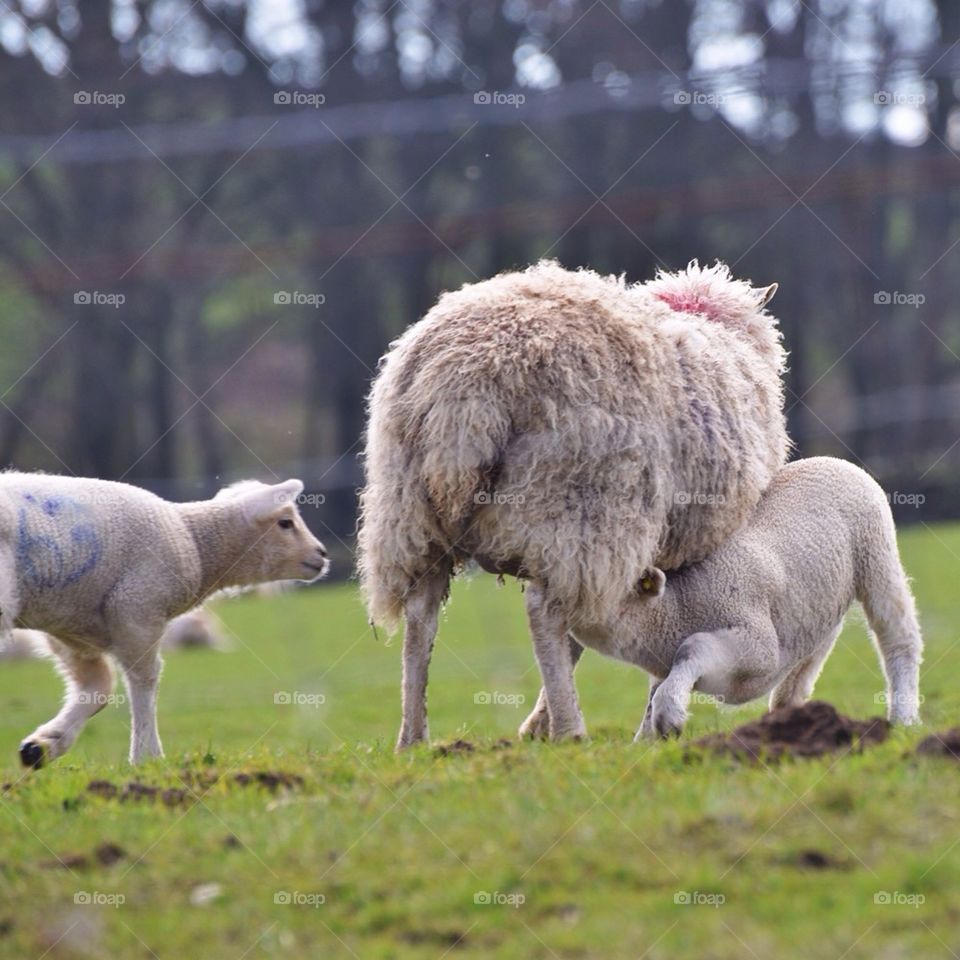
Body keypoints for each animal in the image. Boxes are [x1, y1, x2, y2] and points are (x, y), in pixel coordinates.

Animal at [0, 474, 328, 766]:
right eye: (285, 522)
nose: (323, 554)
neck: (194, 538)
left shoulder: (72, 628)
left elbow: (98, 687)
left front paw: (43, 745)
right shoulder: (136, 607)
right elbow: (145, 680)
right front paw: (147, 756)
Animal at [357, 259, 789, 748]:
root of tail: (467, 378)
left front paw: (538, 725)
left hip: (408, 516)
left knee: (421, 616)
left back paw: (413, 736)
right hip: (578, 509)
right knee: (545, 614)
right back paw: (569, 728)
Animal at [520, 457, 923, 740]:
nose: (538, 590)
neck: (677, 608)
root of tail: (832, 460)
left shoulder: (757, 647)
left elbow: (692, 650)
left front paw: (669, 718)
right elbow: (658, 688)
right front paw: (647, 738)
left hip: (876, 555)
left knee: (898, 638)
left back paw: (902, 718)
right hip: (819, 603)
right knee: (807, 664)